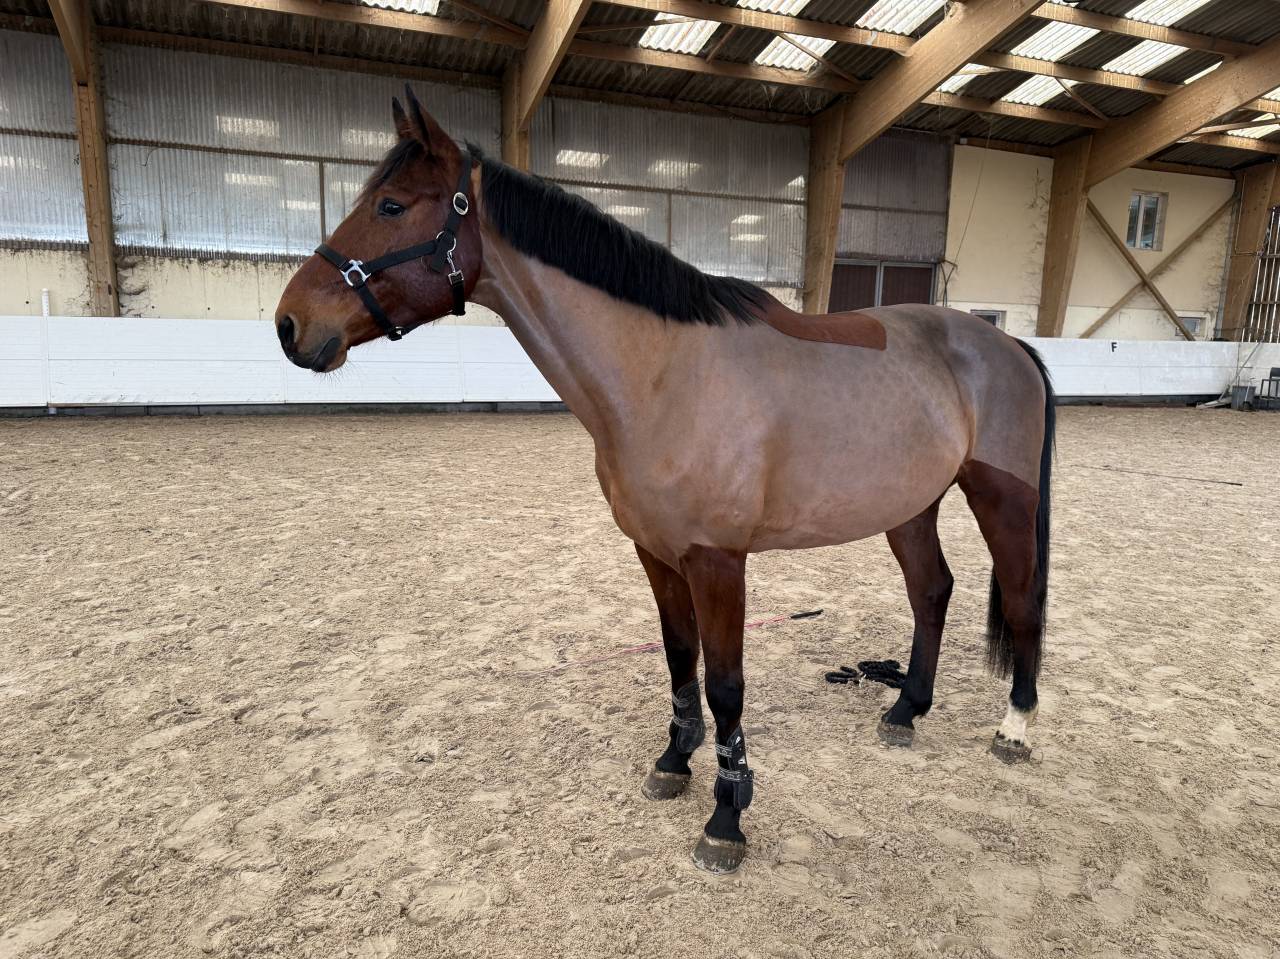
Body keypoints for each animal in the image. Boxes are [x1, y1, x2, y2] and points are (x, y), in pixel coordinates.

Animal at [275, 87, 1054, 875]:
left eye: (393, 206)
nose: (289, 324)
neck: (662, 376)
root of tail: (1007, 342)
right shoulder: (655, 551)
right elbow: (680, 658)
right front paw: (674, 761)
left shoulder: (717, 560)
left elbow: (725, 685)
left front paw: (727, 816)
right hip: (911, 506)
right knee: (932, 591)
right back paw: (904, 710)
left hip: (1002, 498)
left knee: (1022, 600)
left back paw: (1014, 728)